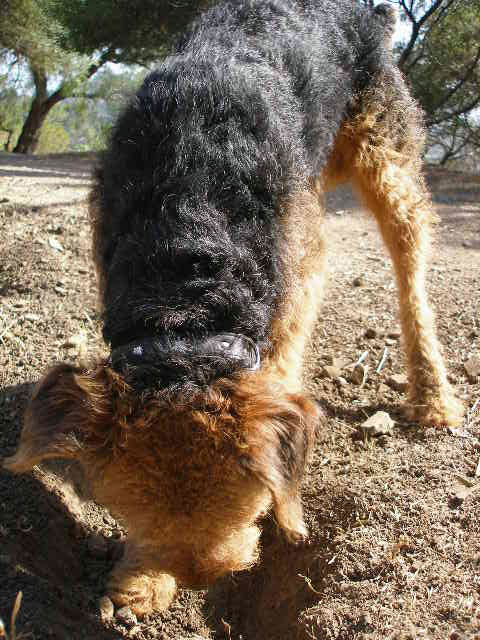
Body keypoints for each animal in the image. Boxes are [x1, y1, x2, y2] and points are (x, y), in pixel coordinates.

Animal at [5, 0, 464, 620]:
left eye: (249, 497)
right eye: (128, 504)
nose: (200, 577)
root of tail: (371, 14)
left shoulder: (299, 274)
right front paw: (142, 579)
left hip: (385, 158)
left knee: (411, 272)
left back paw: (434, 398)